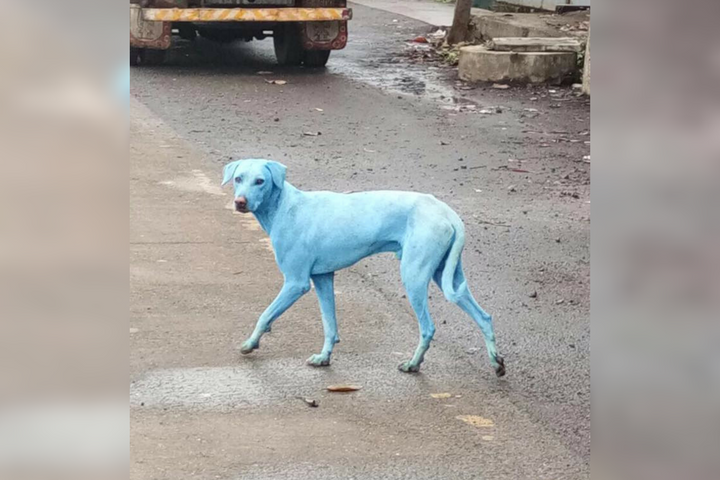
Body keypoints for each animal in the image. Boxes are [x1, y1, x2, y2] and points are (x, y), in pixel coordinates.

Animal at [222, 159, 504, 376]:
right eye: (238, 178)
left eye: (260, 181)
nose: (240, 202)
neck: (284, 206)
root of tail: (446, 211)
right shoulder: (323, 278)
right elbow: (330, 325)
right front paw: (324, 357)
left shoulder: (296, 283)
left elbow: (265, 315)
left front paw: (250, 344)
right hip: (447, 275)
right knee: (483, 316)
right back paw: (496, 362)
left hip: (414, 276)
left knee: (428, 327)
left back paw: (413, 364)